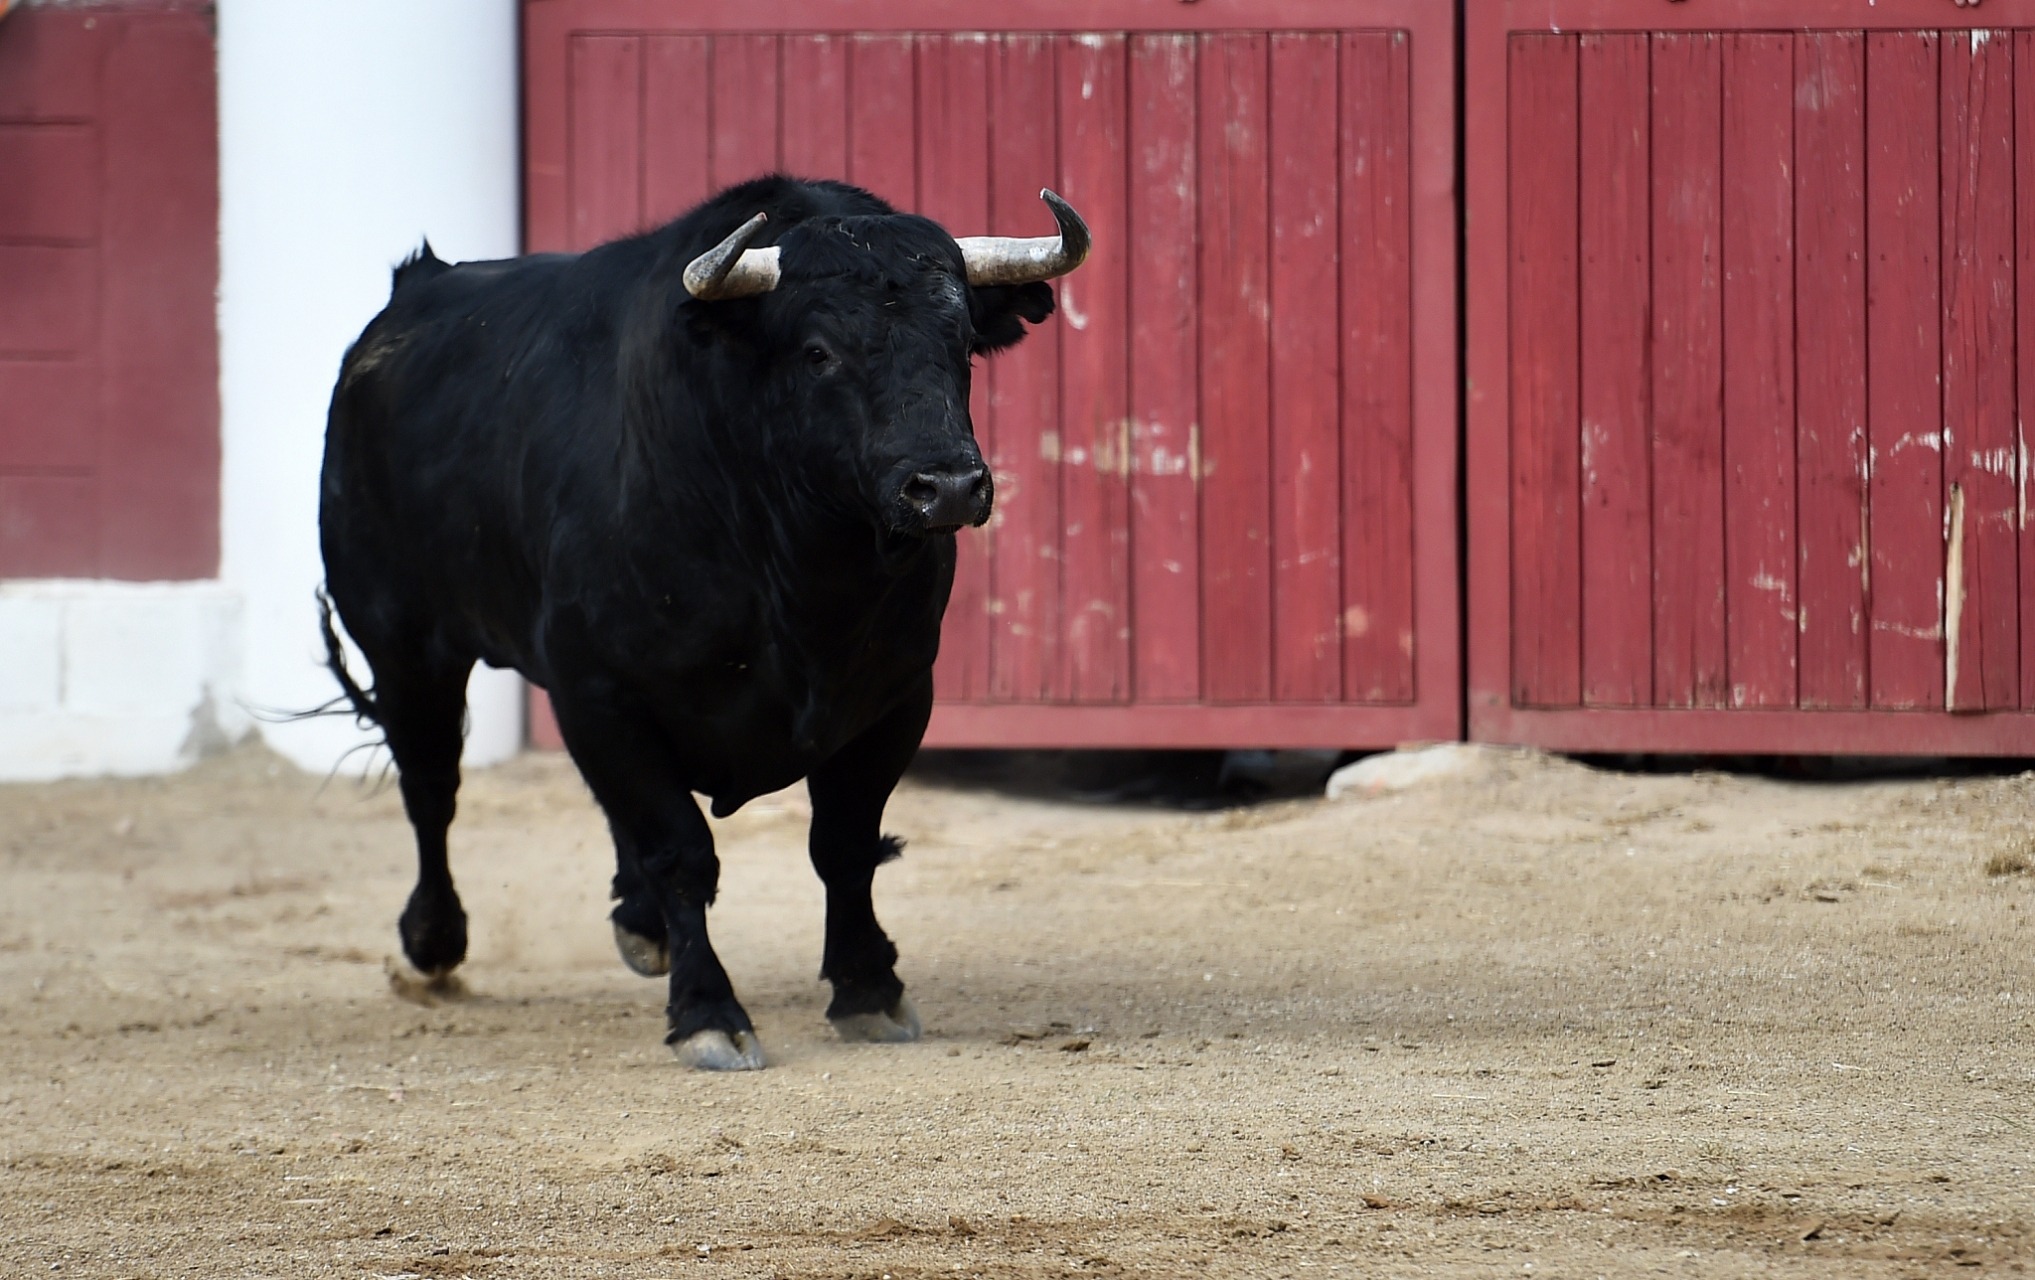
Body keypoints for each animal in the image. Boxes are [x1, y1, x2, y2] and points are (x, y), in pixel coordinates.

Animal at [321, 171, 1082, 1066]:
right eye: (817, 351)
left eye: (961, 342)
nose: (950, 487)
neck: (804, 574)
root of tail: (412, 296)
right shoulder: (602, 689)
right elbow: (680, 850)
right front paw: (709, 1013)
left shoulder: (894, 696)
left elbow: (845, 842)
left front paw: (868, 988)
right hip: (403, 643)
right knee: (431, 782)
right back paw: (434, 940)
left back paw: (636, 924)